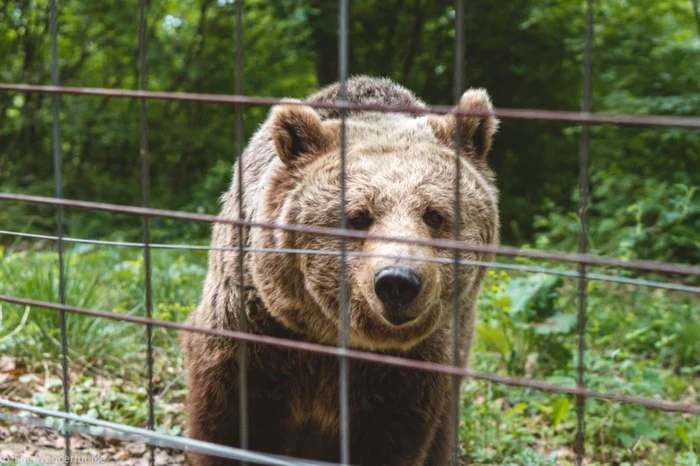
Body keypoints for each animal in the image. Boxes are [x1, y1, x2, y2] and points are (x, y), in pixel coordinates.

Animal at [180, 77, 498, 466]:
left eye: (434, 215)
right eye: (359, 217)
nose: (398, 282)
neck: (329, 337)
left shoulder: (407, 371)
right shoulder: (256, 331)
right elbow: (232, 424)